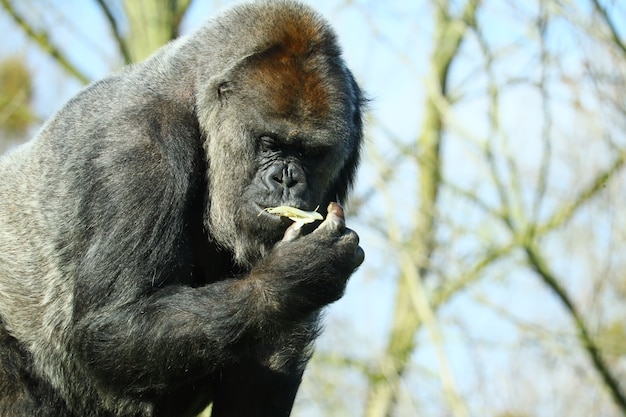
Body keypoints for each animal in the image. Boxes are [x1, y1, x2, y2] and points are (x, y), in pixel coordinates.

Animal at [0, 0, 364, 416]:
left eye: (311, 153)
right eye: (269, 142)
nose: (287, 180)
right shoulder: (140, 144)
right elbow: (112, 325)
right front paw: (295, 274)